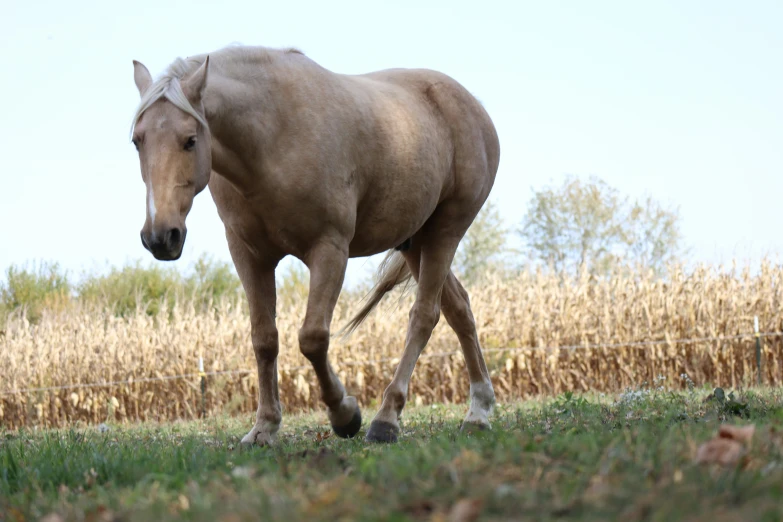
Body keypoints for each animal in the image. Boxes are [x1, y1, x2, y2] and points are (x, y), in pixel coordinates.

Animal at [130, 44, 502, 442]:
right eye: (137, 140)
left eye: (190, 140)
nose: (160, 236)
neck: (273, 137)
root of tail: (473, 106)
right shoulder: (249, 256)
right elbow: (264, 339)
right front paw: (264, 427)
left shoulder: (329, 250)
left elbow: (312, 337)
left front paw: (345, 414)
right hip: (416, 242)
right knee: (458, 310)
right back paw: (478, 410)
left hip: (446, 231)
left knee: (423, 316)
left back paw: (386, 419)